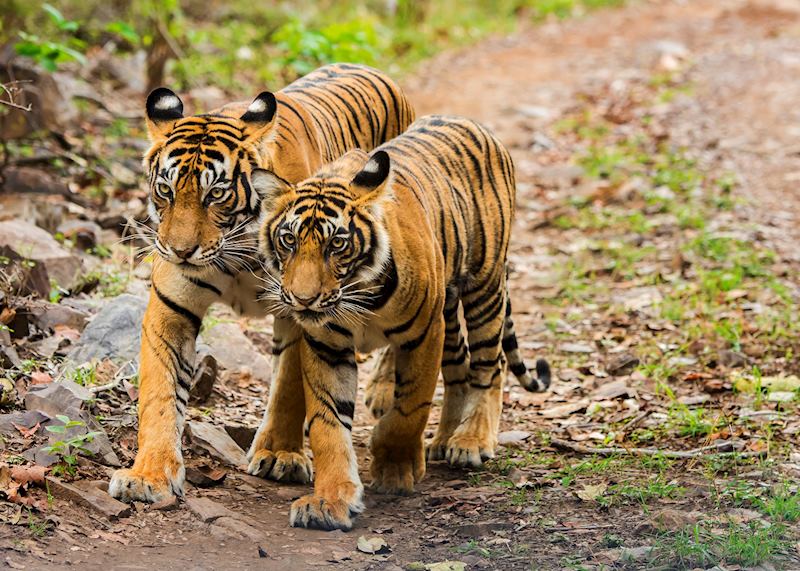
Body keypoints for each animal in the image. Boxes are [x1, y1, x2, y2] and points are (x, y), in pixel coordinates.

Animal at [108, 63, 416, 504]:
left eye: (216, 193)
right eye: (165, 190)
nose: (180, 251)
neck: (234, 251)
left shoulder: (301, 309)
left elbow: (288, 386)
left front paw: (280, 454)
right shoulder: (172, 308)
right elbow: (160, 393)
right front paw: (148, 474)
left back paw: (384, 389)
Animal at [256, 115, 552, 532]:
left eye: (337, 245)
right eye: (288, 241)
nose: (303, 299)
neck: (356, 295)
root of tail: (473, 123)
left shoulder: (424, 332)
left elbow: (410, 408)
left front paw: (395, 468)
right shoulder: (326, 344)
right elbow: (328, 425)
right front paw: (329, 501)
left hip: (485, 285)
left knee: (488, 364)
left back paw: (471, 441)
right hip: (450, 308)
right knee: (459, 366)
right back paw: (444, 440)